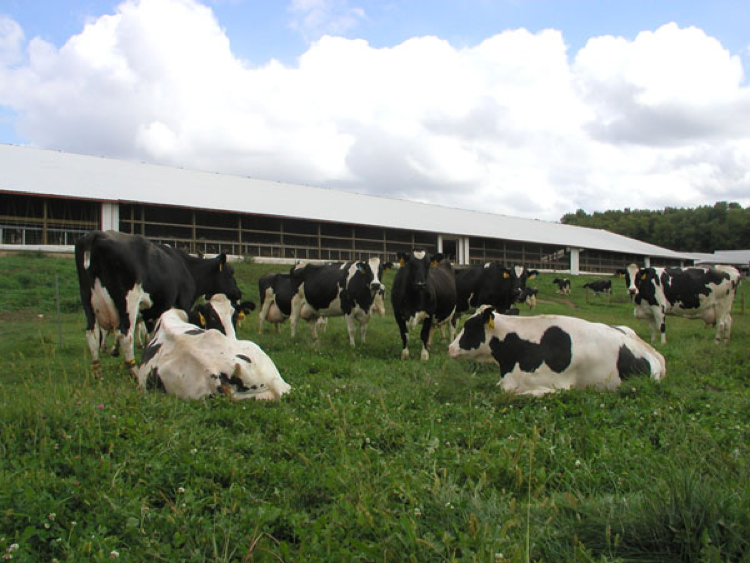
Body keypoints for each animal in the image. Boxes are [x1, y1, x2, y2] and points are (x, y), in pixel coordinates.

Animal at [75, 230, 242, 374]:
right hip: (128, 302)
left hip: (87, 301)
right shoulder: (183, 303)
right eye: (230, 272)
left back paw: (98, 371)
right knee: (125, 334)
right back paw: (133, 371)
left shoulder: (152, 311)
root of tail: (96, 235)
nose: (238, 293)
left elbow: (151, 334)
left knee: (92, 334)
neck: (187, 267)